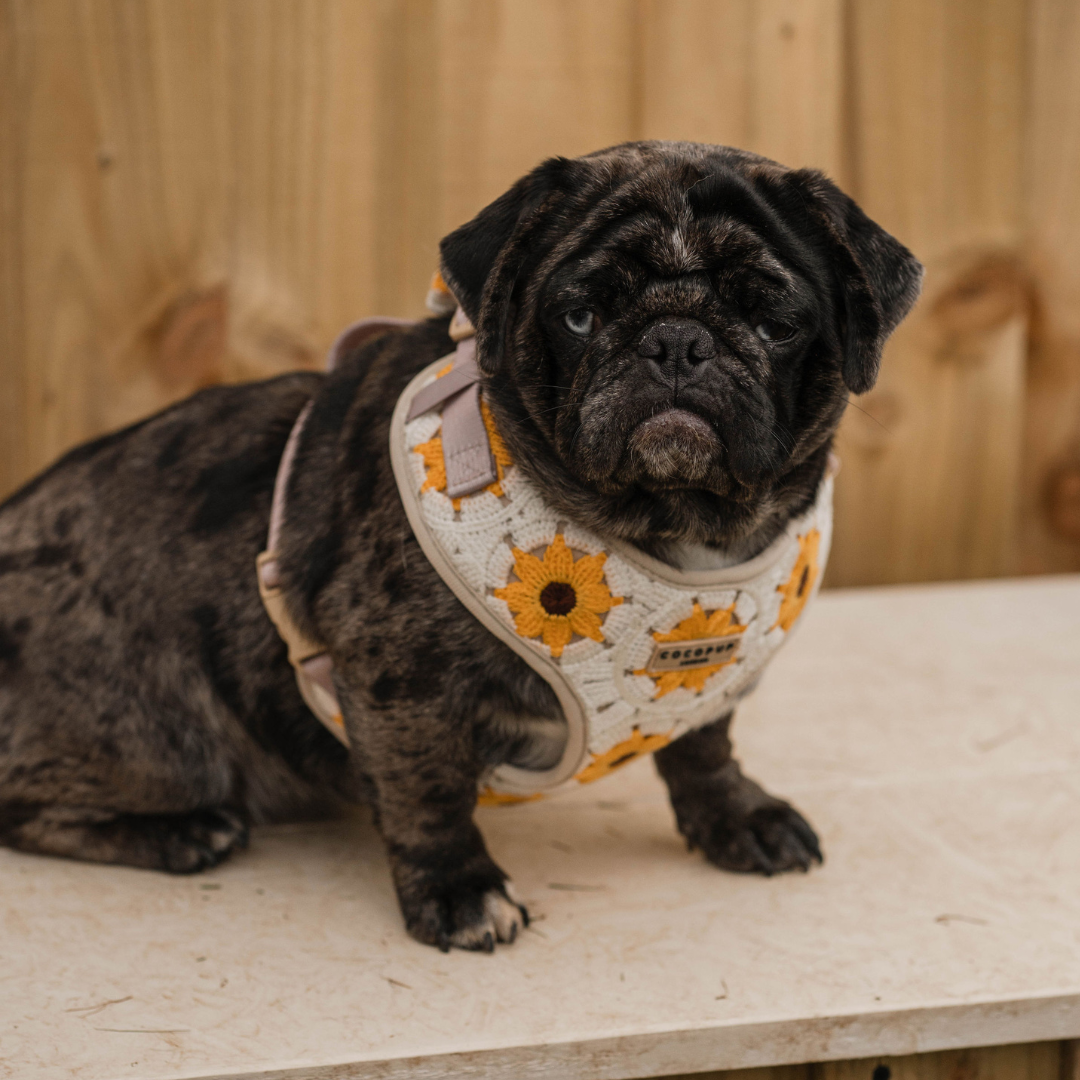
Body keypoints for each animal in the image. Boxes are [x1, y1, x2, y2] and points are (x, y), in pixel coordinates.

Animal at [0, 143, 920, 954]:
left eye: (774, 319)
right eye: (579, 315)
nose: (676, 341)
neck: (674, 529)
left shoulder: (702, 679)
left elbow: (703, 745)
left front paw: (737, 816)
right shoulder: (402, 685)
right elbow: (428, 792)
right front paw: (458, 890)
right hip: (157, 732)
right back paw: (179, 832)